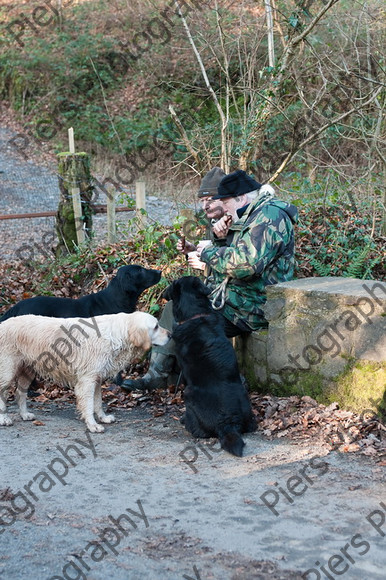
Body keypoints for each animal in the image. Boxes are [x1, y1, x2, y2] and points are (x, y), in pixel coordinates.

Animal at [0, 312, 169, 430]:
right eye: (156, 326)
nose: (171, 334)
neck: (117, 334)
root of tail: (3, 323)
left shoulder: (97, 378)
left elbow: (98, 403)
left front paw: (103, 418)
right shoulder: (87, 380)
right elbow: (88, 405)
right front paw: (93, 425)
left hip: (27, 371)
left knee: (19, 394)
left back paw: (24, 414)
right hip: (8, 371)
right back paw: (4, 419)